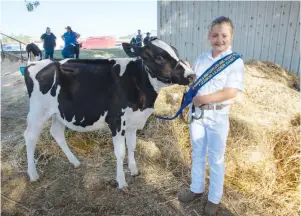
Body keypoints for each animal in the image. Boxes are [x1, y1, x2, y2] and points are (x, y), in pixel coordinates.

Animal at [23, 38, 195, 190]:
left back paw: (74, 161)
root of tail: (33, 63)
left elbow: (132, 146)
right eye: (159, 57)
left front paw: (134, 170)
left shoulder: (133, 122)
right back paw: (33, 174)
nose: (192, 75)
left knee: (56, 132)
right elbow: (120, 153)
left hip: (58, 112)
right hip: (38, 110)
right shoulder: (117, 121)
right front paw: (121, 182)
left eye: (176, 52)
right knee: (30, 136)